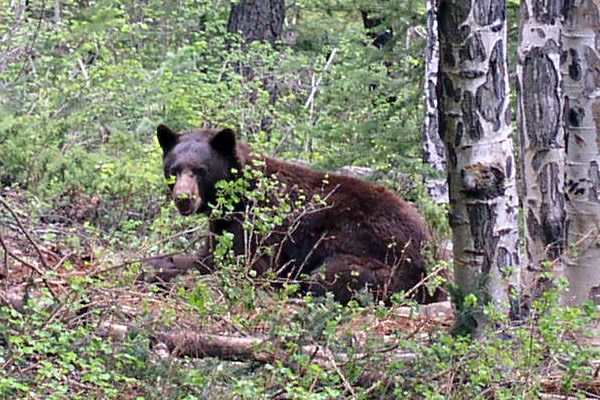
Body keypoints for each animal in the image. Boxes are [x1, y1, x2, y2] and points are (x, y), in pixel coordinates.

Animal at [148, 125, 442, 304]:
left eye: (200, 170)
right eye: (173, 170)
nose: (183, 198)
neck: (238, 197)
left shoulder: (259, 223)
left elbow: (246, 266)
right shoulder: (222, 225)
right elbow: (204, 256)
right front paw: (157, 265)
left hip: (384, 261)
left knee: (329, 275)